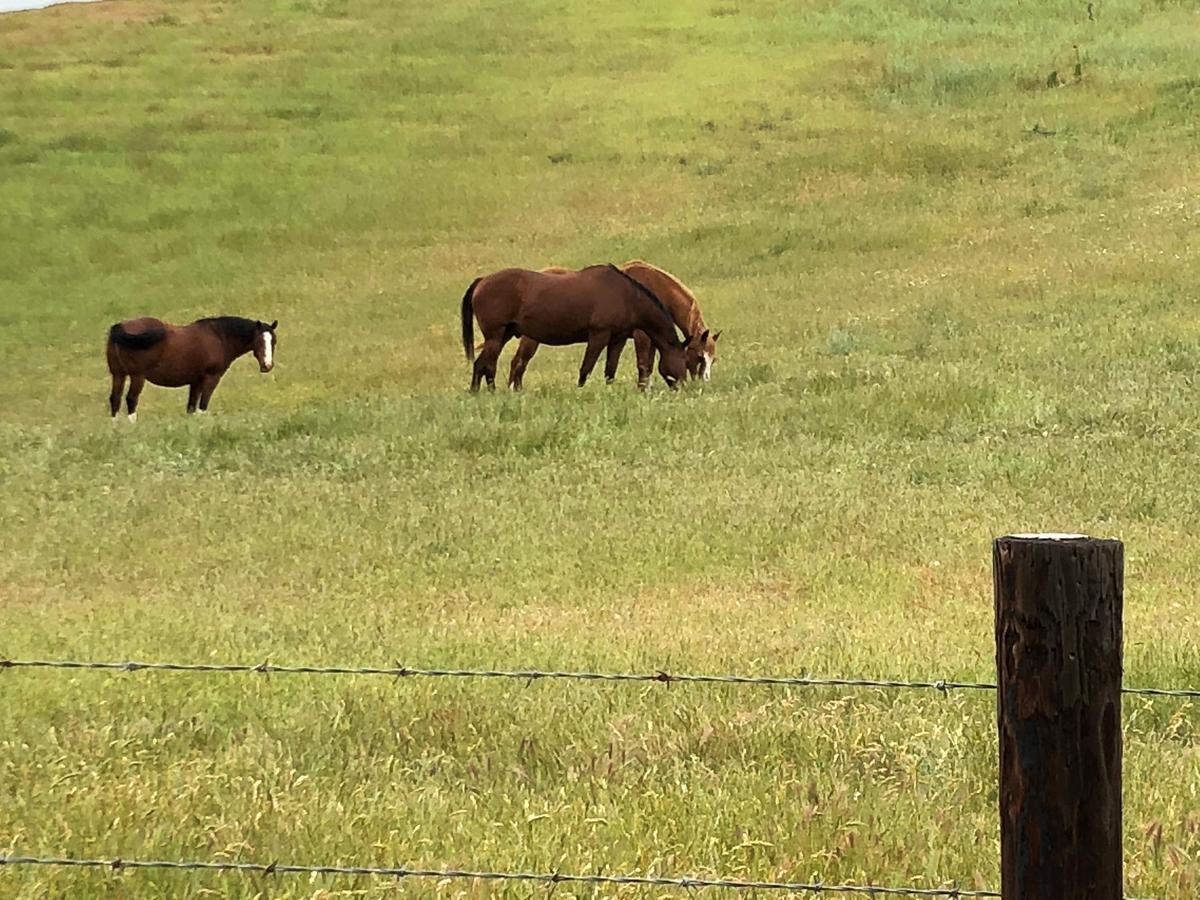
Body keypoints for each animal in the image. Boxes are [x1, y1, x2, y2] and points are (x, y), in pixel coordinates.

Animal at [104, 314, 277, 422]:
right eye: (259, 341)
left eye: (273, 341)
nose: (267, 366)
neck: (219, 337)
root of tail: (119, 327)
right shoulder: (211, 378)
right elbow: (202, 405)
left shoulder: (196, 381)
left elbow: (191, 407)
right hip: (137, 376)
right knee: (131, 399)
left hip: (118, 374)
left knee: (115, 399)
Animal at [458, 262, 691, 393]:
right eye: (684, 361)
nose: (684, 389)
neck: (625, 296)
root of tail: (482, 281)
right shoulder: (599, 336)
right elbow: (585, 369)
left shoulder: (617, 339)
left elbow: (610, 371)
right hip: (495, 336)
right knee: (482, 365)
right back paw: (478, 393)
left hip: (502, 336)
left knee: (489, 365)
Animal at [506, 259, 720, 388]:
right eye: (699, 357)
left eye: (713, 359)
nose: (702, 383)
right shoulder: (641, 337)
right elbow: (644, 366)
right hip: (531, 339)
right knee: (519, 363)